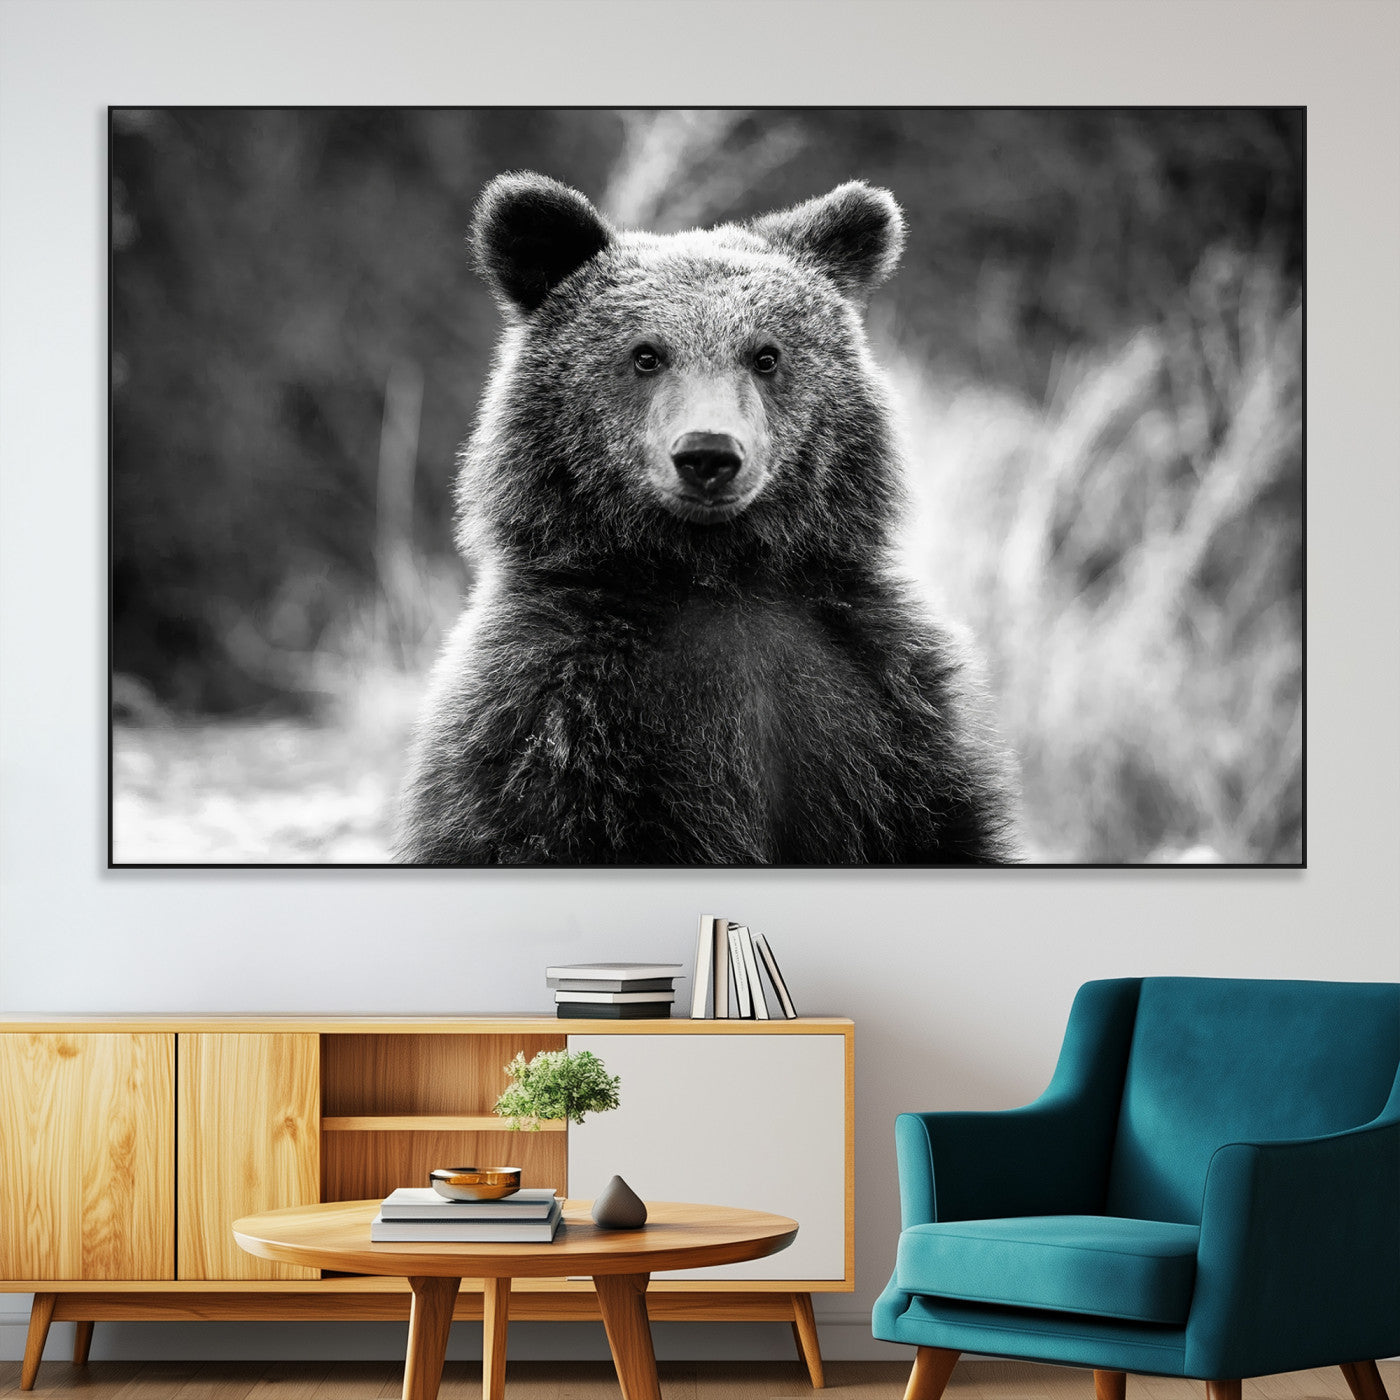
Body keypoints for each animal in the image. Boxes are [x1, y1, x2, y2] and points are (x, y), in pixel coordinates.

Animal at [395, 172, 1018, 865]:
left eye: (766, 355)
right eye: (646, 354)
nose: (708, 454)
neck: (716, 574)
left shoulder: (884, 706)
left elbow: (938, 824)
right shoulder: (552, 718)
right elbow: (522, 825)